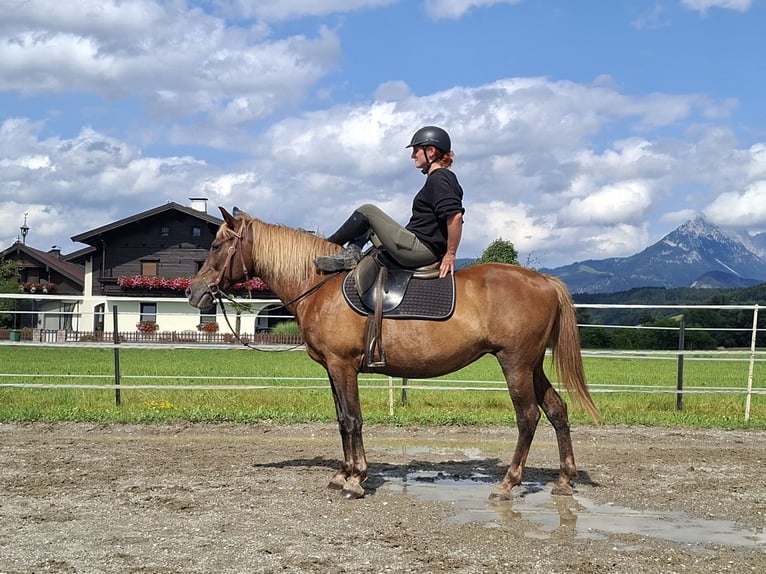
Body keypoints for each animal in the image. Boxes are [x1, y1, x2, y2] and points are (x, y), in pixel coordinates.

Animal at [186, 207, 601, 500]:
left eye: (217, 246)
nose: (193, 292)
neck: (320, 284)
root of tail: (544, 280)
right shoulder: (331, 369)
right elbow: (342, 420)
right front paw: (342, 473)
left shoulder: (343, 366)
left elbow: (353, 419)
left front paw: (356, 479)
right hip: (531, 364)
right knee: (557, 410)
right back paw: (564, 479)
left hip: (514, 363)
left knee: (528, 417)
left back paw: (508, 483)